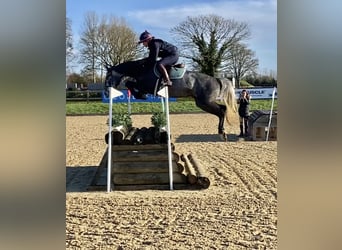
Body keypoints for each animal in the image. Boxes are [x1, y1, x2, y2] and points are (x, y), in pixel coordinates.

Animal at [105, 59, 238, 140]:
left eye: (108, 76)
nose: (107, 92)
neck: (141, 69)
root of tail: (216, 79)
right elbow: (130, 84)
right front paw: (139, 95)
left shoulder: (146, 85)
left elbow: (130, 84)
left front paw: (140, 95)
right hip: (204, 103)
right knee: (223, 109)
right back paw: (222, 132)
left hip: (204, 103)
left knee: (221, 111)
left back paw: (222, 133)